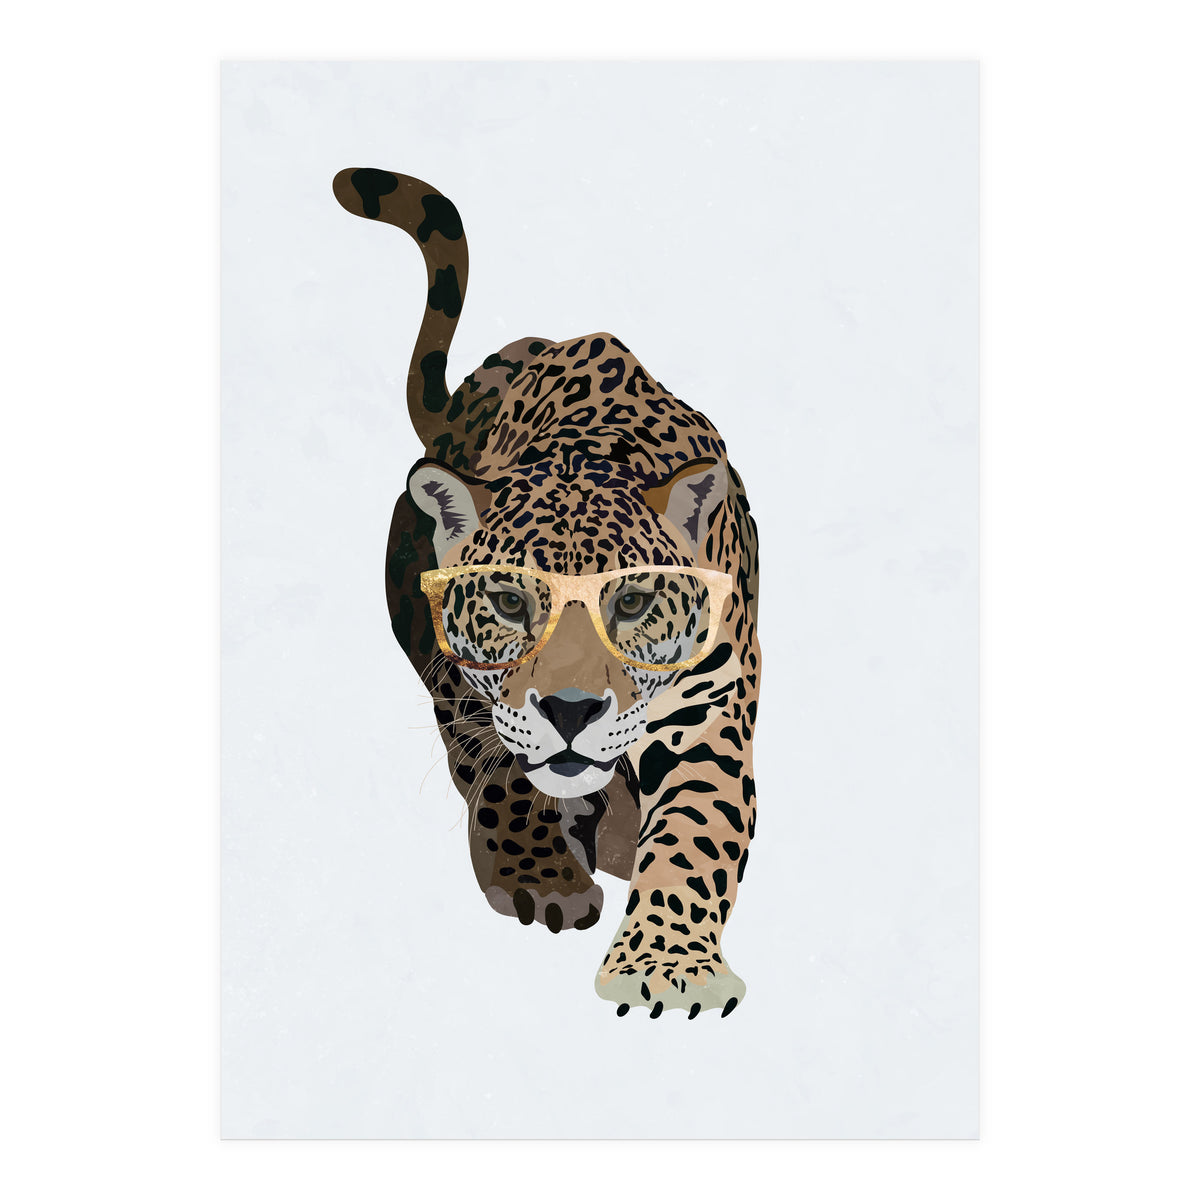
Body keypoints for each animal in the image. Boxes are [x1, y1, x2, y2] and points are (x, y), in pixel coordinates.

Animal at [333, 167, 761, 1018]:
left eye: (630, 602)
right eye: (508, 602)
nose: (570, 711)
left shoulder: (710, 706)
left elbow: (696, 830)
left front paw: (666, 966)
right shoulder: (466, 683)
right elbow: (502, 769)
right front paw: (541, 877)